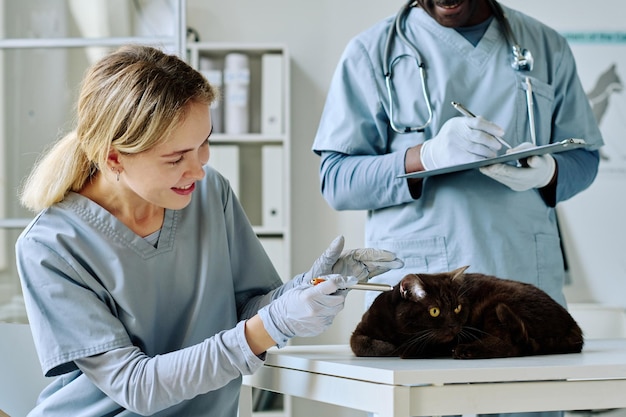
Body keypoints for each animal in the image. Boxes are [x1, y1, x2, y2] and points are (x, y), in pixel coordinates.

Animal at [348, 266, 584, 358]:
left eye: (457, 308)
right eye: (435, 311)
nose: (454, 325)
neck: (403, 334)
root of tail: (574, 328)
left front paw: (403, 350)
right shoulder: (361, 329)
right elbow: (359, 344)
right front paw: (389, 348)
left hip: (497, 304)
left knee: (511, 345)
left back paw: (467, 350)